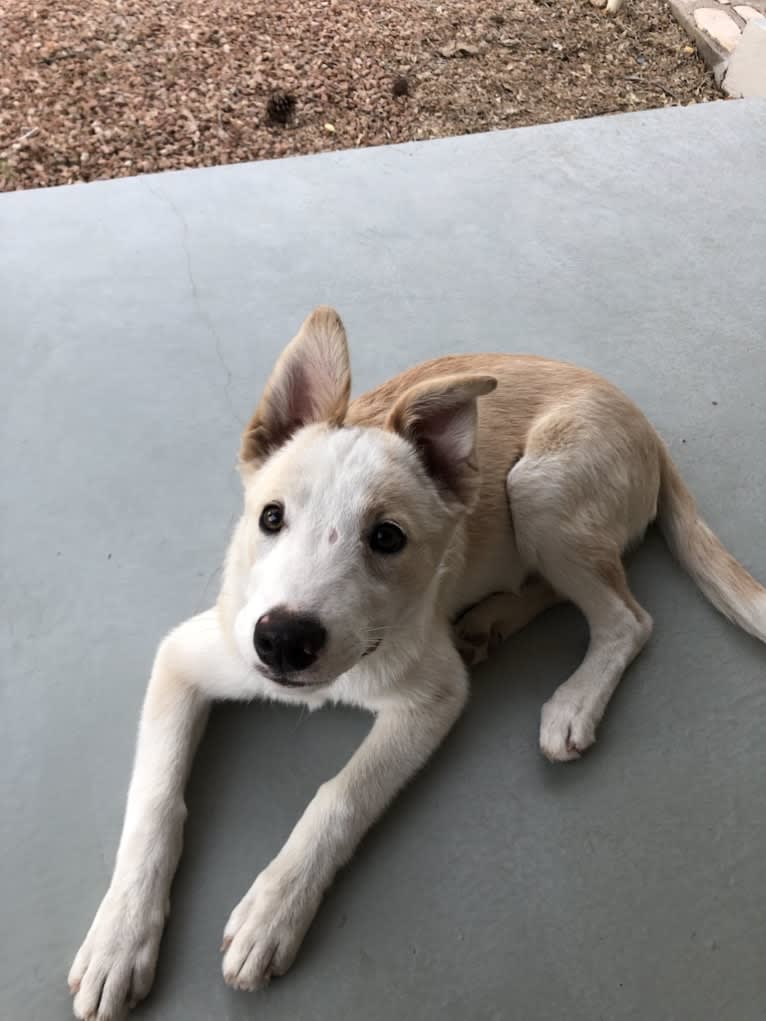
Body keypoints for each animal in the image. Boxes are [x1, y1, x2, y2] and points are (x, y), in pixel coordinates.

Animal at [68, 306, 763, 1016]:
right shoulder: (187, 656)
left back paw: (572, 701)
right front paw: (119, 941)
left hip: (539, 486)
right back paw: (490, 621)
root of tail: (643, 422)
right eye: (270, 518)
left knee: (628, 618)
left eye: (387, 537)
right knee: (560, 587)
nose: (284, 640)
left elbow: (340, 795)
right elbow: (155, 802)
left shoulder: (433, 698)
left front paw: (274, 909)